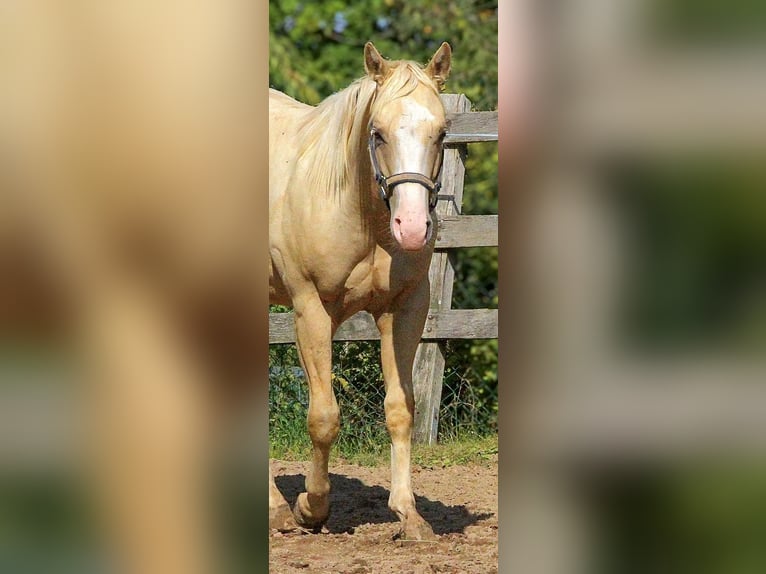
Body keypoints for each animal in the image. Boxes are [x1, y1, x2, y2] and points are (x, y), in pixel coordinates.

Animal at [270, 42, 452, 544]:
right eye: (378, 133)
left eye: (442, 133)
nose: (412, 228)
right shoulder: (311, 311)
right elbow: (324, 417)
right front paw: (310, 508)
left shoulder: (404, 309)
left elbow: (401, 408)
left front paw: (409, 514)